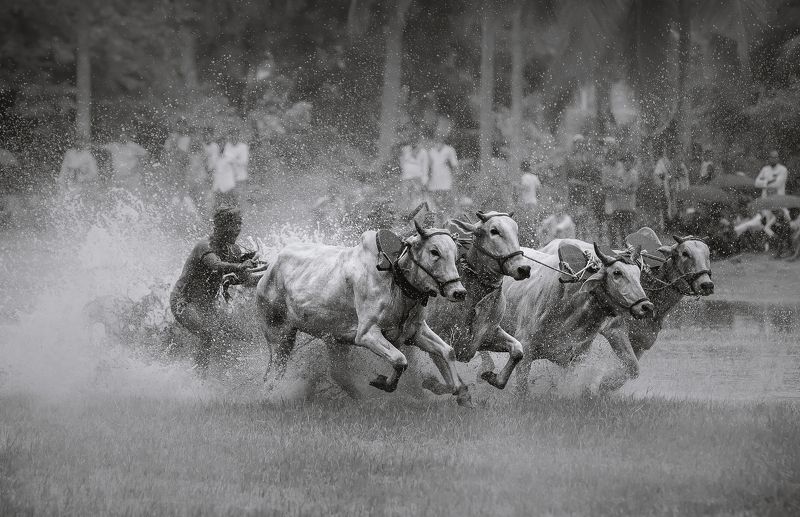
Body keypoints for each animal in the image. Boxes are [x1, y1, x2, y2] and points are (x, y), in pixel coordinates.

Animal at [255, 221, 473, 405]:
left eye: (455, 254)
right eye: (434, 251)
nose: (459, 292)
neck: (395, 280)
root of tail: (270, 268)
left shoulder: (415, 332)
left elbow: (448, 351)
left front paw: (461, 392)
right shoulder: (367, 334)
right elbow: (400, 360)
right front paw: (383, 383)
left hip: (334, 340)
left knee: (339, 374)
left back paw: (363, 401)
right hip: (280, 338)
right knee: (273, 376)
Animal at [502, 240, 654, 397]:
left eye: (638, 274)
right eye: (617, 272)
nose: (646, 306)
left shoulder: (576, 357)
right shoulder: (525, 346)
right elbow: (522, 389)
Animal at [596, 232, 714, 391]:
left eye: (708, 254)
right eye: (685, 253)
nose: (706, 284)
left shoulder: (641, 343)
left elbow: (625, 373)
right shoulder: (614, 330)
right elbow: (633, 369)